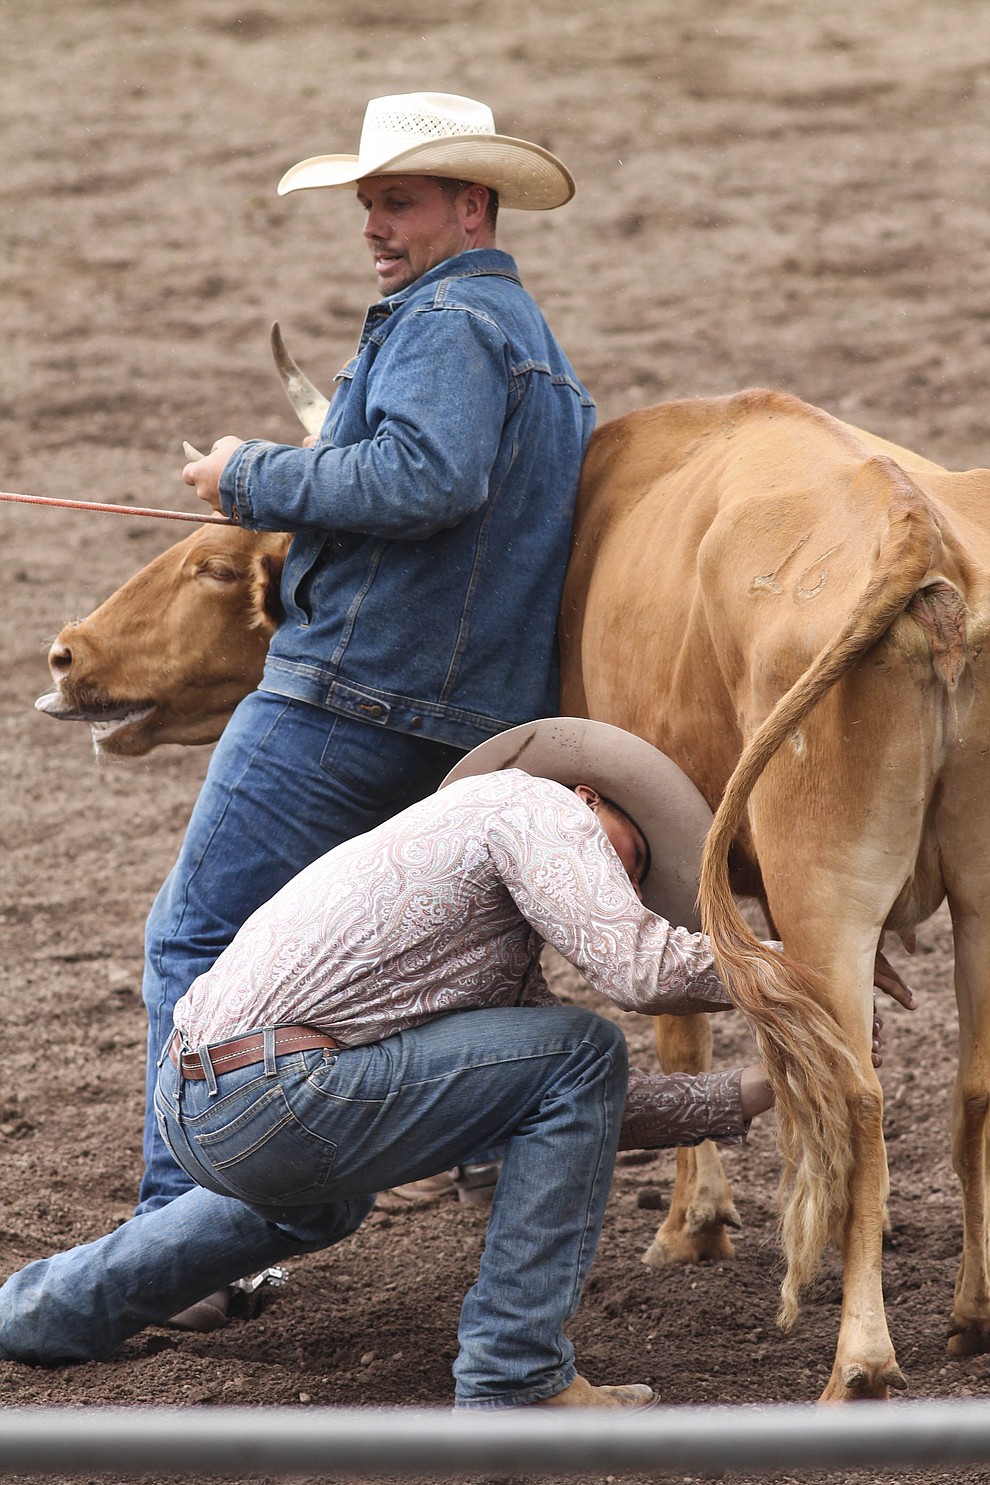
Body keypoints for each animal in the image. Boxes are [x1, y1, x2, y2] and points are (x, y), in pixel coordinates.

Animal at [34, 365, 990, 1395]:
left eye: (213, 564)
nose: (67, 651)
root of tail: (910, 523)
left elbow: (685, 1034)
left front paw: (693, 1225)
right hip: (974, 901)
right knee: (966, 1088)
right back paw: (970, 1315)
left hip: (824, 889)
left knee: (857, 1097)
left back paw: (860, 1358)